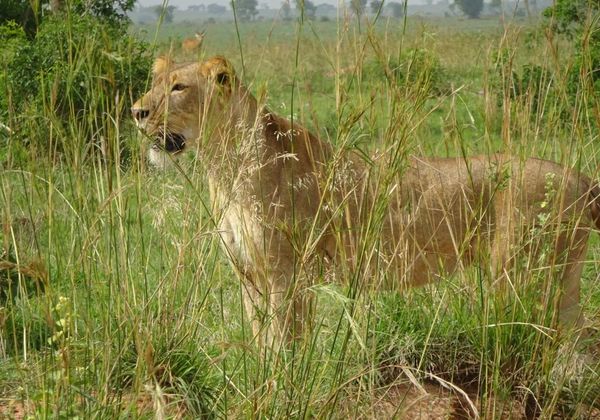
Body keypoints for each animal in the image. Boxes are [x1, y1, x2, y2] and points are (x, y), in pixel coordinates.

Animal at [132, 55, 600, 347]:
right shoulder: (248, 273)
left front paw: (281, 388)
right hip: (562, 280)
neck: (224, 166)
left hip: (521, 276)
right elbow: (261, 340)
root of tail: (580, 177)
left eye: (178, 88)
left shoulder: (288, 272)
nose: (137, 111)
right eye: (152, 86)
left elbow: (284, 342)